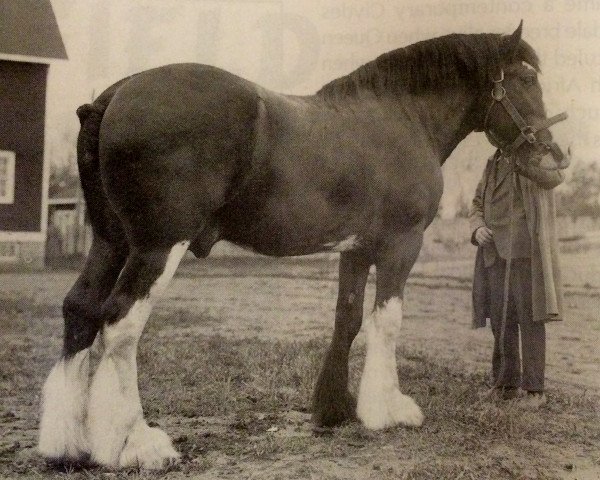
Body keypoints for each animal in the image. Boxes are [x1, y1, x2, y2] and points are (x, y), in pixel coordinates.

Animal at [38, 23, 568, 468]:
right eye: (525, 79)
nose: (555, 157)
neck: (402, 116)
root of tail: (112, 97)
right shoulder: (401, 244)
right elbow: (387, 321)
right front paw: (389, 410)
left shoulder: (357, 249)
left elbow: (348, 319)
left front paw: (335, 409)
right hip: (157, 246)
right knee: (120, 323)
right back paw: (138, 443)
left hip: (111, 241)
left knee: (80, 309)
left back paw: (68, 444)